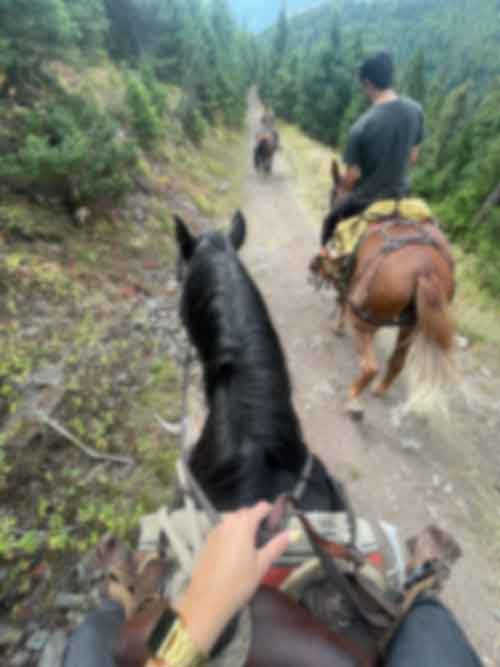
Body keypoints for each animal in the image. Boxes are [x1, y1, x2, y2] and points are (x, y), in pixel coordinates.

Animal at [312, 160, 458, 418]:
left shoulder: (348, 281)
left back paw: (354, 399)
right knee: (397, 362)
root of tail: (426, 269)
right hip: (411, 325)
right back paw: (379, 389)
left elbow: (341, 297)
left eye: (334, 191)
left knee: (370, 366)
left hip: (363, 317)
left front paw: (337, 327)